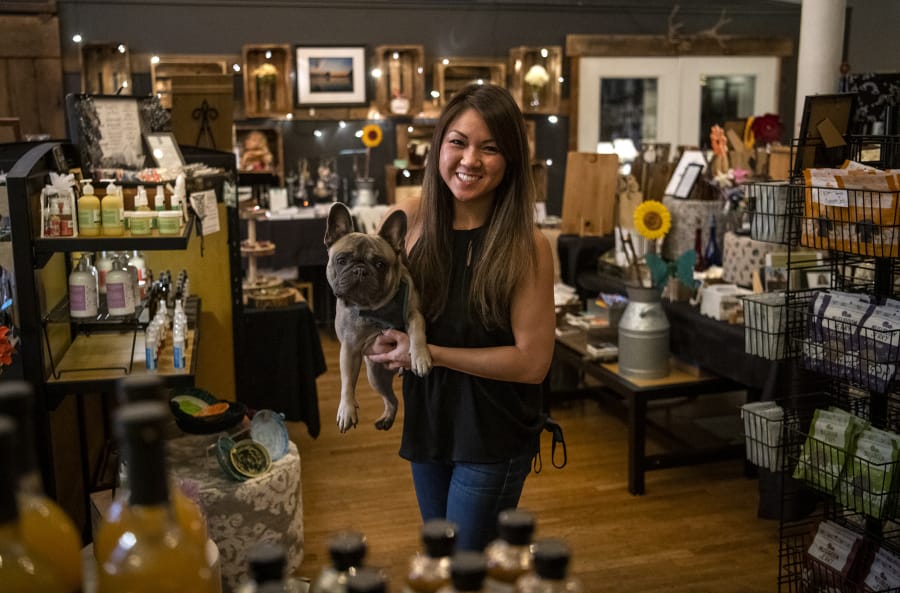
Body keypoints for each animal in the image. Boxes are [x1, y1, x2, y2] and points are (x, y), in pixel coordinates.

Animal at [324, 202, 432, 430]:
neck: (374, 309)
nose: (360, 271)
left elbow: (417, 333)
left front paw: (420, 357)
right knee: (391, 399)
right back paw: (386, 419)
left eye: (380, 264)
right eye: (341, 260)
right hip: (375, 375)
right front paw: (346, 409)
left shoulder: (414, 313)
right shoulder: (349, 348)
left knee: (393, 399)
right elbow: (347, 381)